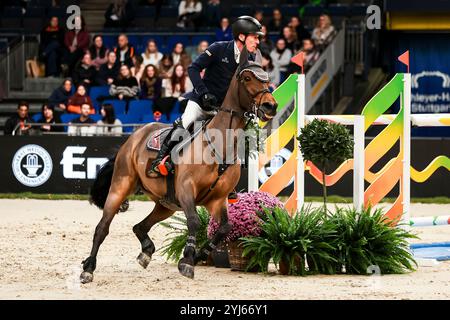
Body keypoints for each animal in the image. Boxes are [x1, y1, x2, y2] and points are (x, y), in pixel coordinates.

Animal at [81, 47, 278, 282]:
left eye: (267, 79)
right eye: (247, 78)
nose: (271, 106)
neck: (218, 145)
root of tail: (133, 137)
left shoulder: (217, 199)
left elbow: (224, 228)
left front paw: (198, 255)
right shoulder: (186, 189)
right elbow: (194, 222)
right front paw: (187, 260)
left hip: (166, 203)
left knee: (140, 226)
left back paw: (146, 251)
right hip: (121, 186)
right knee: (103, 227)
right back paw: (88, 268)